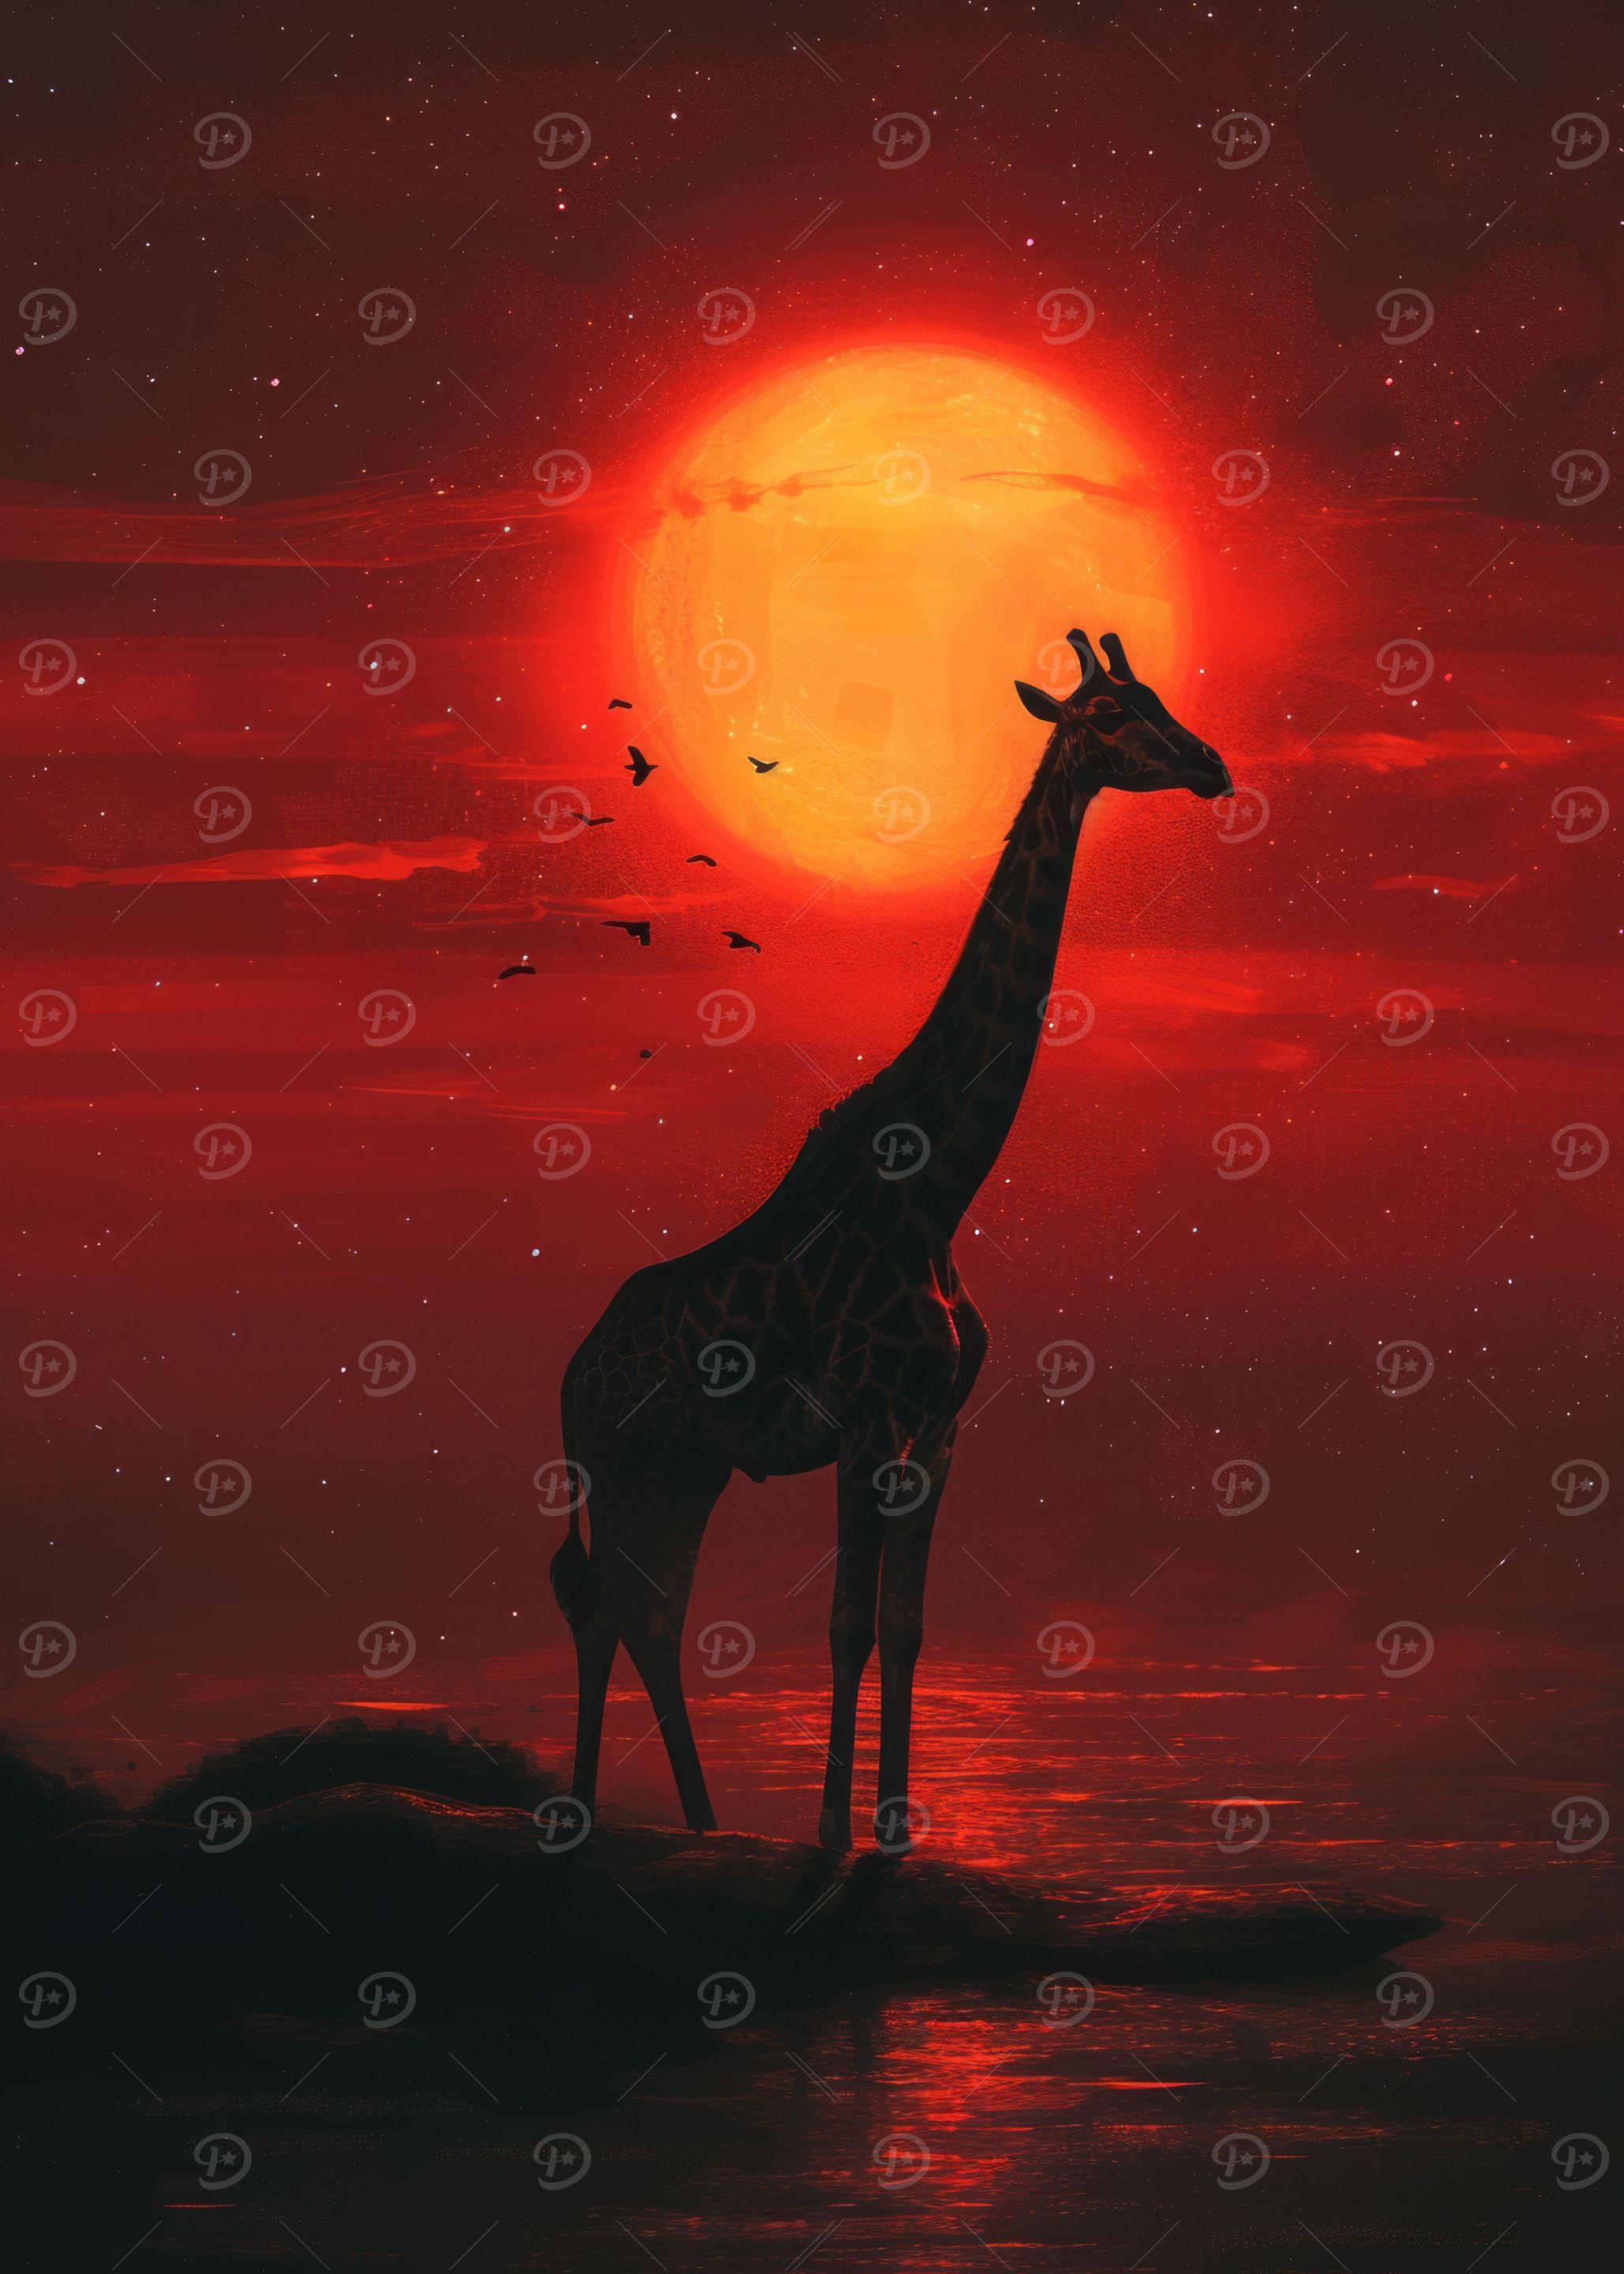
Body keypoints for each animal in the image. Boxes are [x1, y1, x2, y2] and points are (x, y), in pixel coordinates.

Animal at [550, 628, 1231, 1850]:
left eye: (1159, 699)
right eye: (1110, 718)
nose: (1213, 767)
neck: (936, 1195)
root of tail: (571, 1372)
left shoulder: (939, 1431)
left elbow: (907, 1626)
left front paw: (898, 1828)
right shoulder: (865, 1423)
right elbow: (844, 1624)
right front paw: (831, 1828)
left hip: (687, 1465)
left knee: (649, 1613)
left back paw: (703, 1822)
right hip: (619, 1456)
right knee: (600, 1604)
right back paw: (585, 1813)